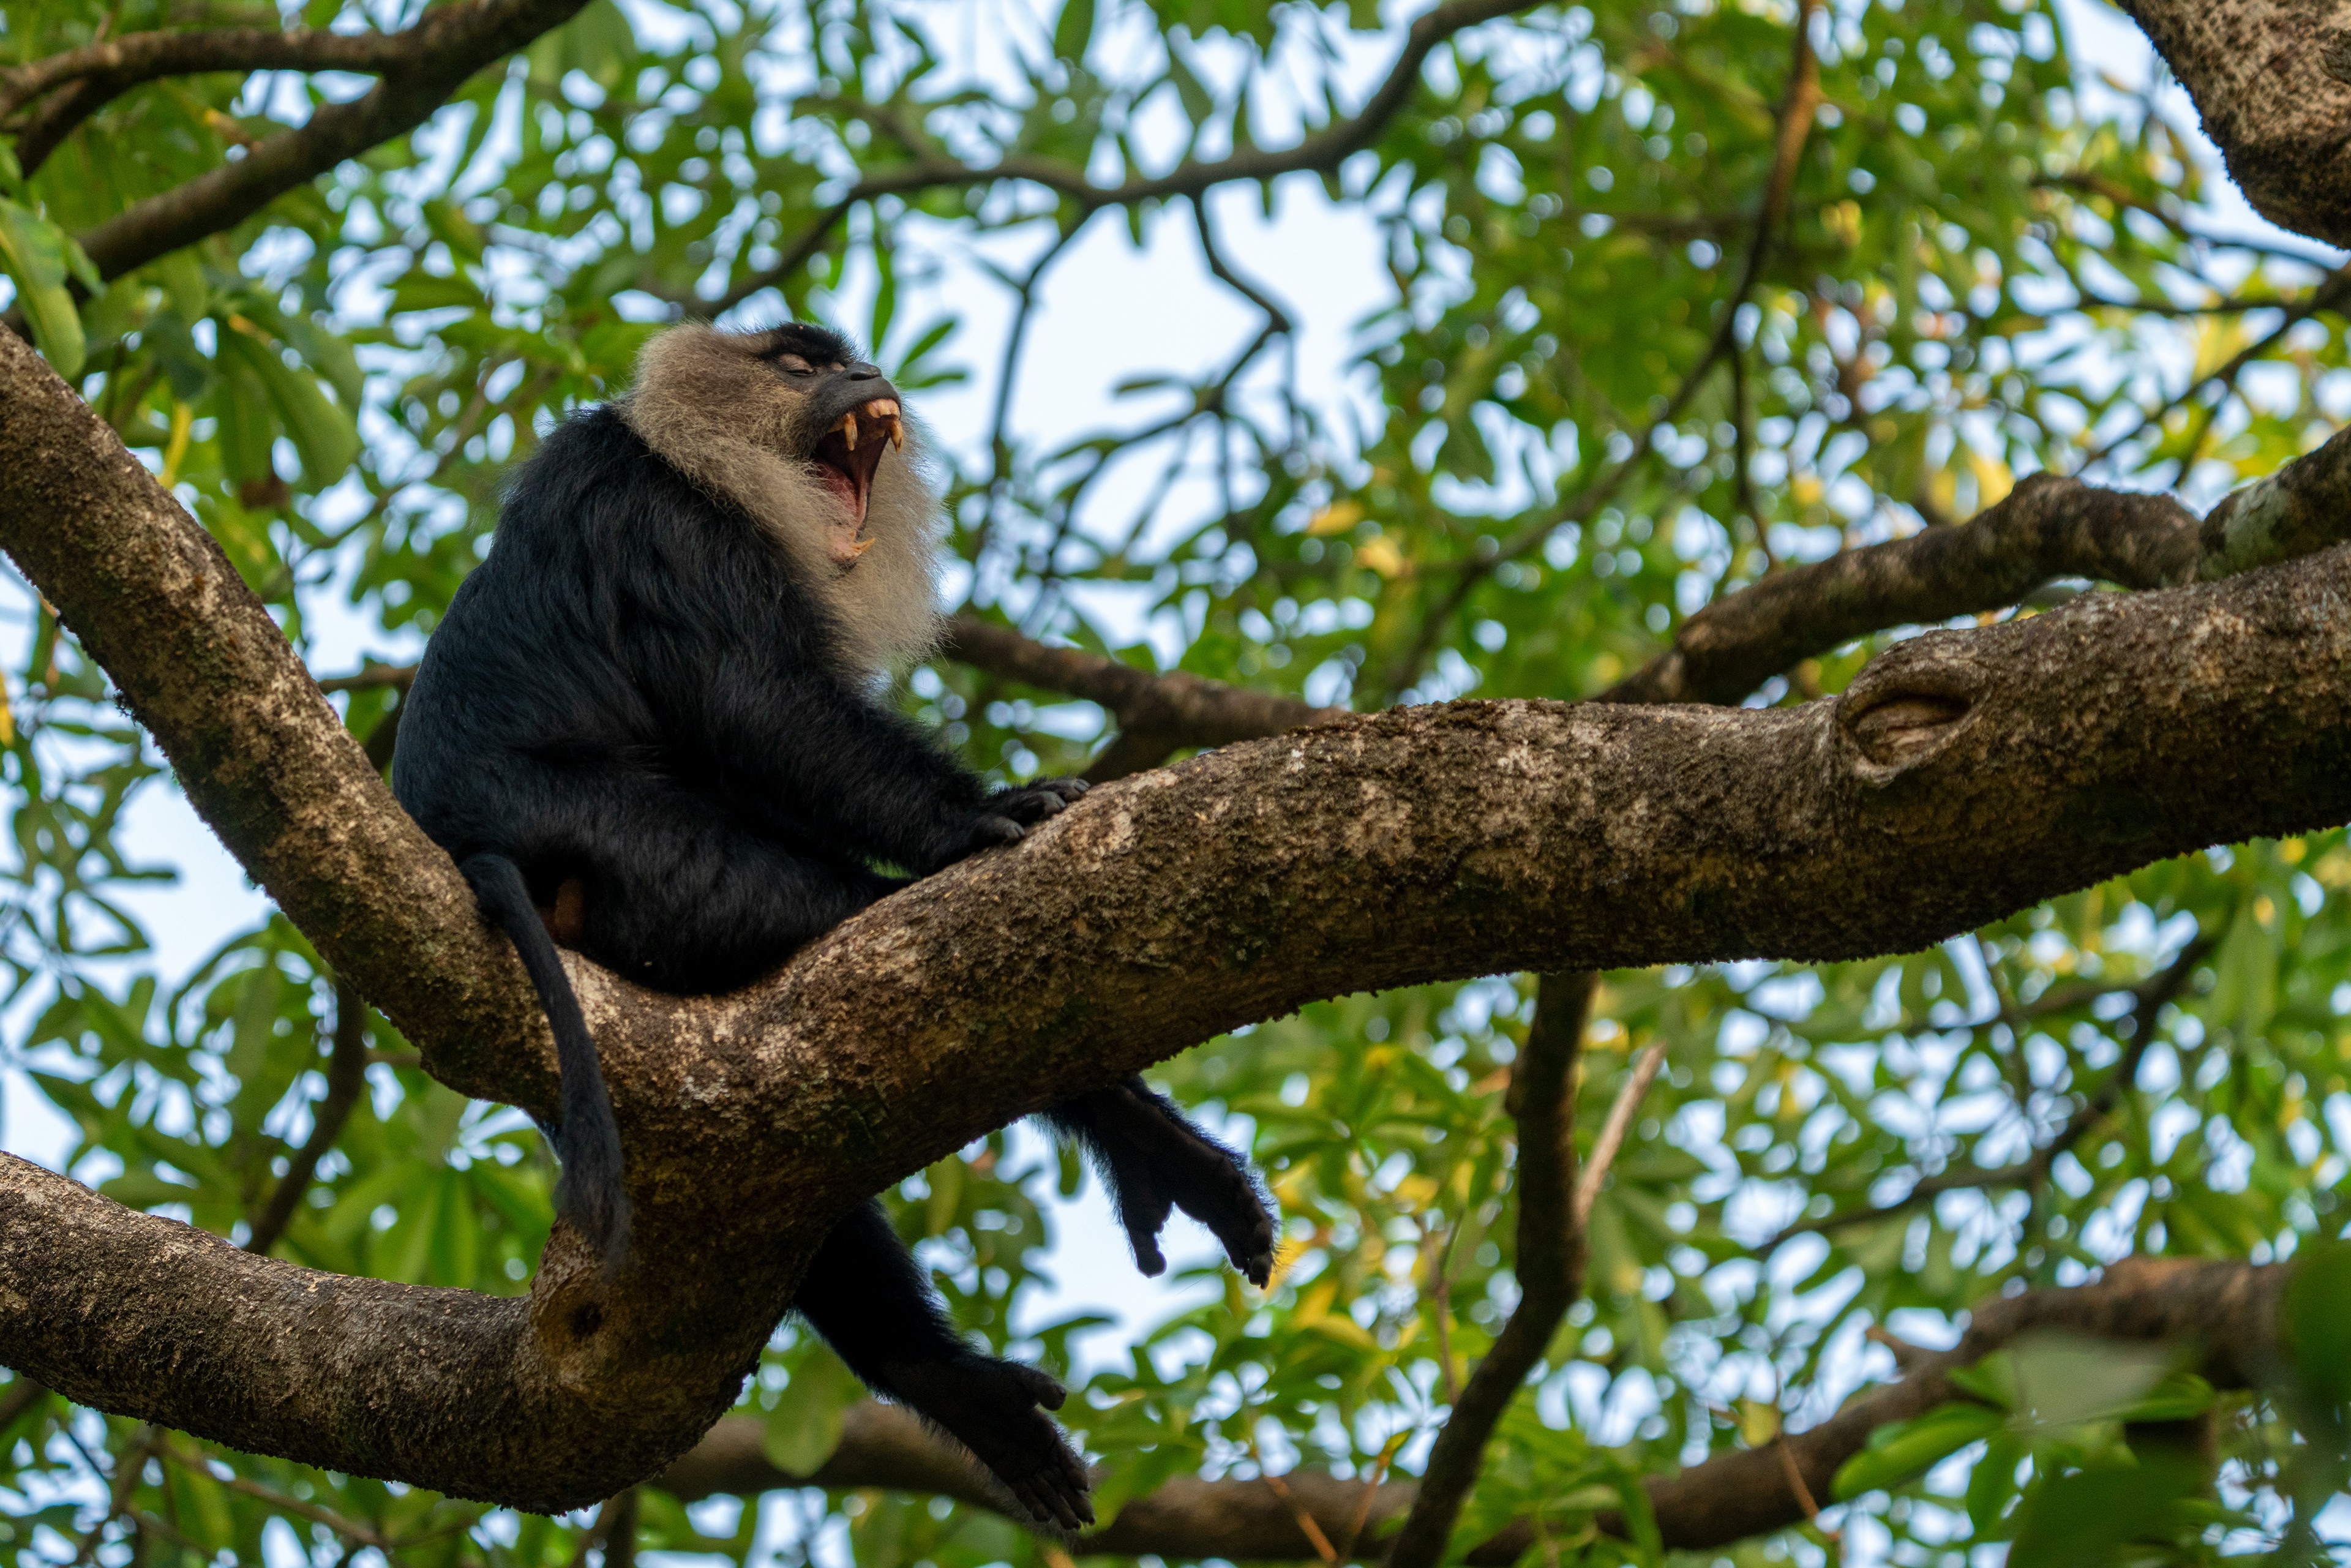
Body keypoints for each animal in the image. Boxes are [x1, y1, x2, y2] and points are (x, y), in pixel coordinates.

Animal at [388, 321, 1276, 1528]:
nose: (865, 379)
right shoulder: (663, 515)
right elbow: (761, 707)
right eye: (799, 366)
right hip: (649, 854)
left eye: (846, 357)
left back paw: (940, 1375)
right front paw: (974, 816)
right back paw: (1139, 1146)